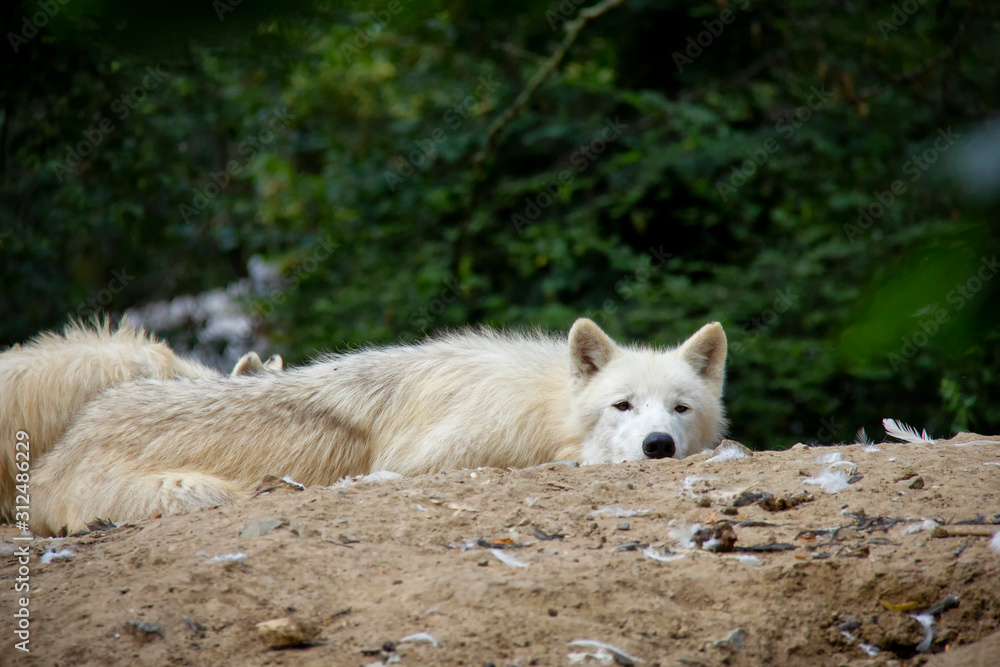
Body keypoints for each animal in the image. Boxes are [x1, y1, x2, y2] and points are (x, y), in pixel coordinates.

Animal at [29, 318, 727, 535]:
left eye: (681, 409)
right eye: (622, 406)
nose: (659, 446)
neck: (542, 404)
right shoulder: (431, 457)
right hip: (197, 492)